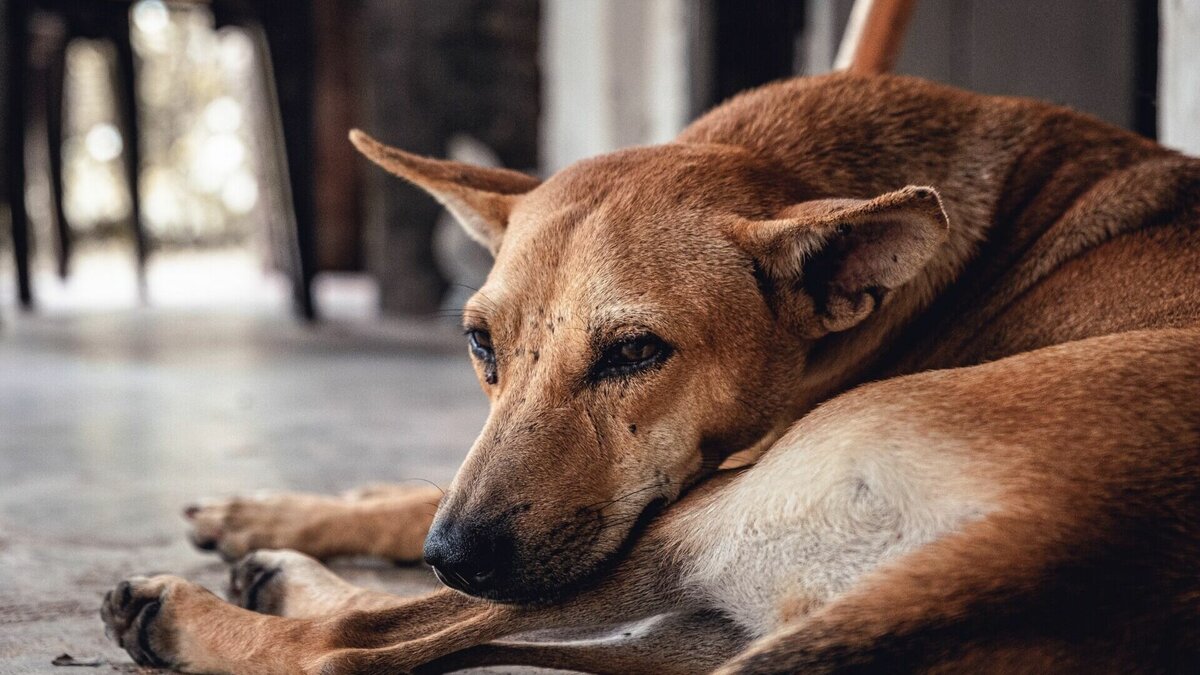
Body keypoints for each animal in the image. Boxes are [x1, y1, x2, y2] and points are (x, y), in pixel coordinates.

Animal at [103, 70, 1200, 667]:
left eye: (635, 353)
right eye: (480, 344)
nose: (453, 553)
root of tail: (1054, 551)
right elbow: (410, 493)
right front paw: (287, 508)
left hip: (684, 523)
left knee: (355, 648)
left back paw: (200, 612)